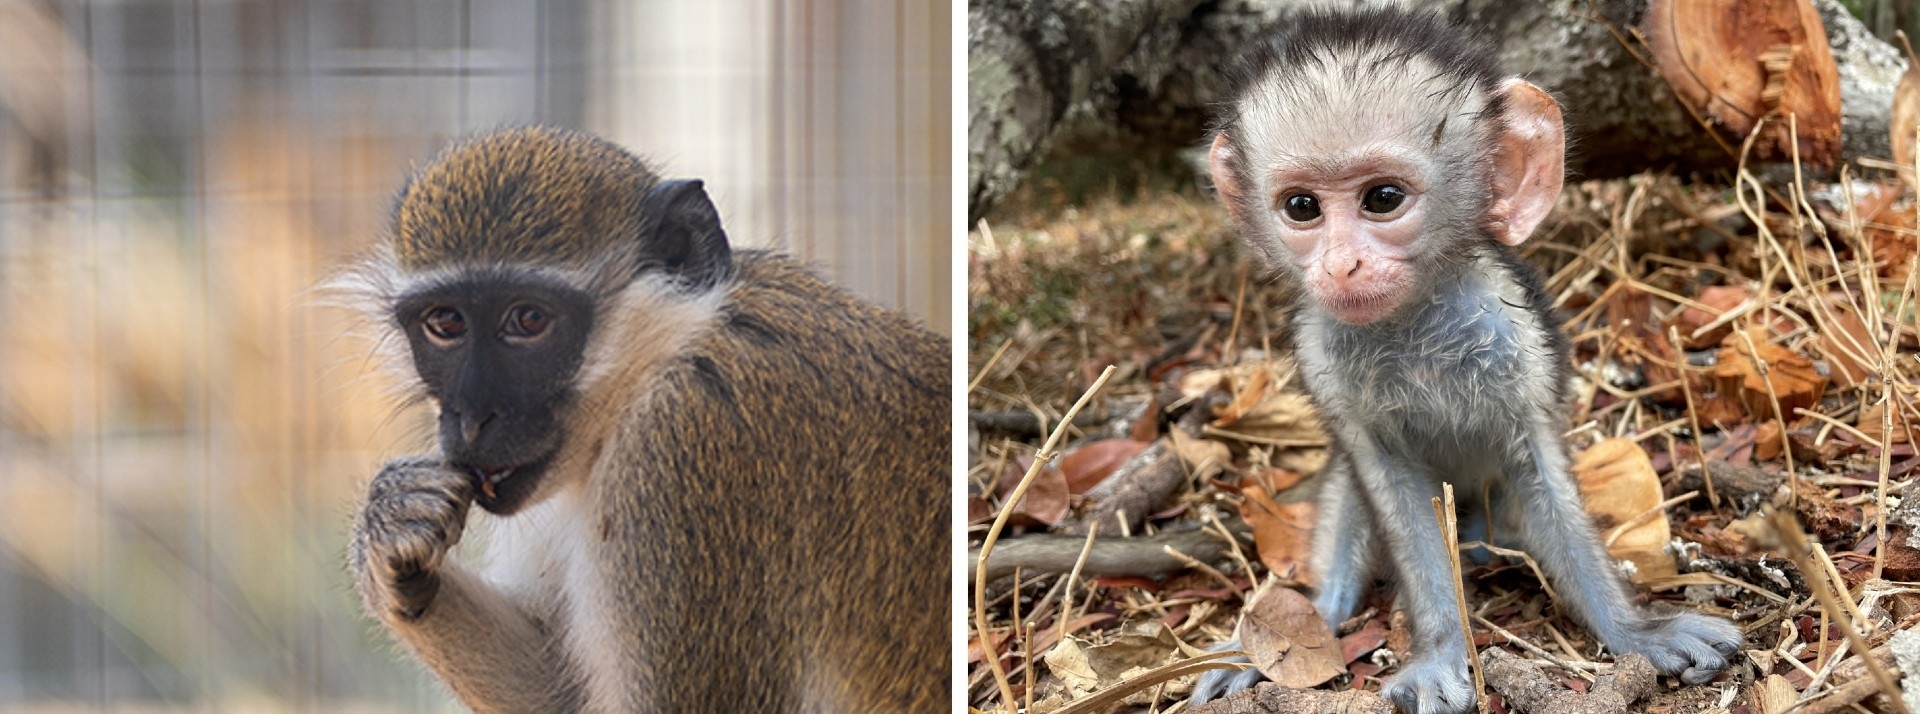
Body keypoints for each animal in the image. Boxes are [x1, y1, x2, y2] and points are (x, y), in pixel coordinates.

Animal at [335, 127, 949, 712]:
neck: (667, 349)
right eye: (445, 323)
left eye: (528, 320)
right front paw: (390, 531)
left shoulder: (684, 449)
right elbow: (560, 689)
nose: (470, 417)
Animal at [1187, 9, 1743, 713]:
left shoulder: (1510, 335)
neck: (1412, 327)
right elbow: (1390, 486)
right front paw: (1440, 651)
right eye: (1302, 207)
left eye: (1383, 198)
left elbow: (1538, 468)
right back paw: (1312, 620)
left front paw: (1633, 631)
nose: (1341, 266)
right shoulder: (1321, 350)